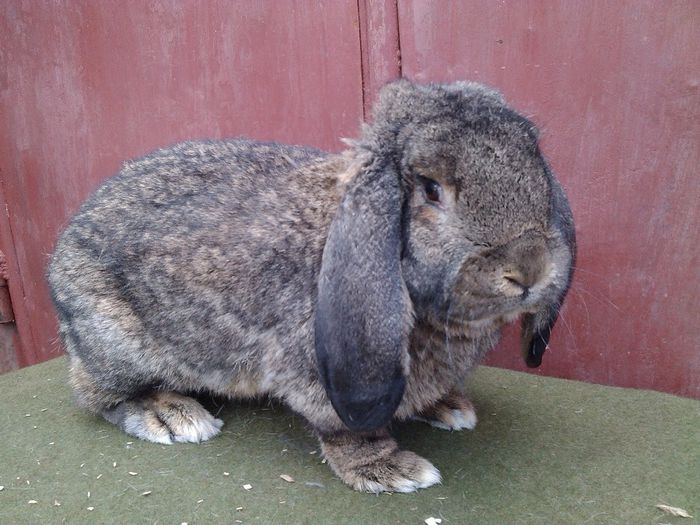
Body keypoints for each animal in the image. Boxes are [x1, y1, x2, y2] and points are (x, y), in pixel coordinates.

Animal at [47, 80, 576, 494]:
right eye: (430, 189)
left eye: (537, 165)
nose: (530, 269)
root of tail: (62, 254)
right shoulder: (319, 377)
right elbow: (345, 433)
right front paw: (390, 471)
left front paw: (448, 406)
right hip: (118, 343)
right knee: (98, 397)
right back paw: (170, 416)